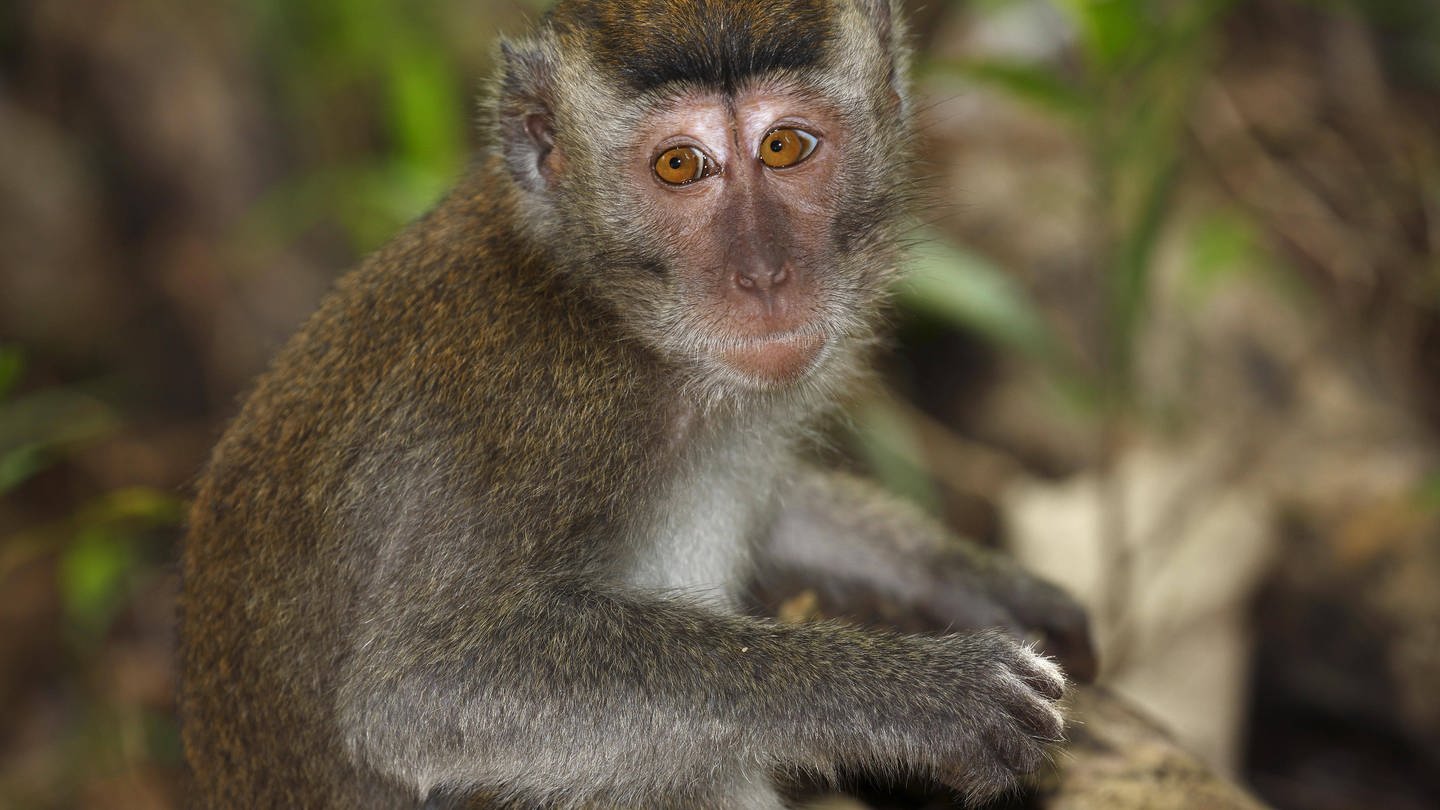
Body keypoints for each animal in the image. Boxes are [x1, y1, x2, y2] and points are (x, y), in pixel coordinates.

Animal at [177, 1, 1088, 807]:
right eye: (680, 165)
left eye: (785, 146)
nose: (764, 275)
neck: (606, 308)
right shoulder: (539, 418)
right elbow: (417, 687)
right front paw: (923, 693)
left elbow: (782, 511)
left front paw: (966, 579)